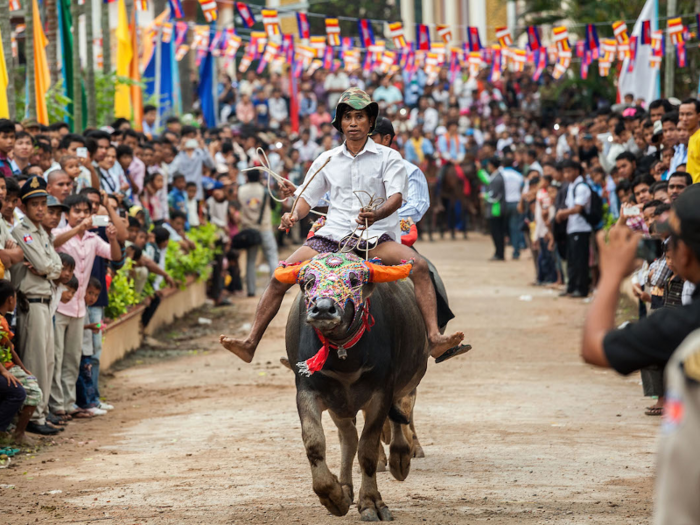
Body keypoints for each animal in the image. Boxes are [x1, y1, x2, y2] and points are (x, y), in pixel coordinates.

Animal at [276, 252, 430, 516]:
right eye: (308, 281)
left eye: (354, 280)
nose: (323, 309)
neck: (344, 355)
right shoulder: (308, 391)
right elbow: (314, 443)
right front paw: (333, 496)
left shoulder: (381, 392)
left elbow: (367, 450)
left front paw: (371, 503)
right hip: (340, 406)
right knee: (348, 437)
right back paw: (346, 489)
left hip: (403, 383)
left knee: (400, 414)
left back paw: (401, 458)